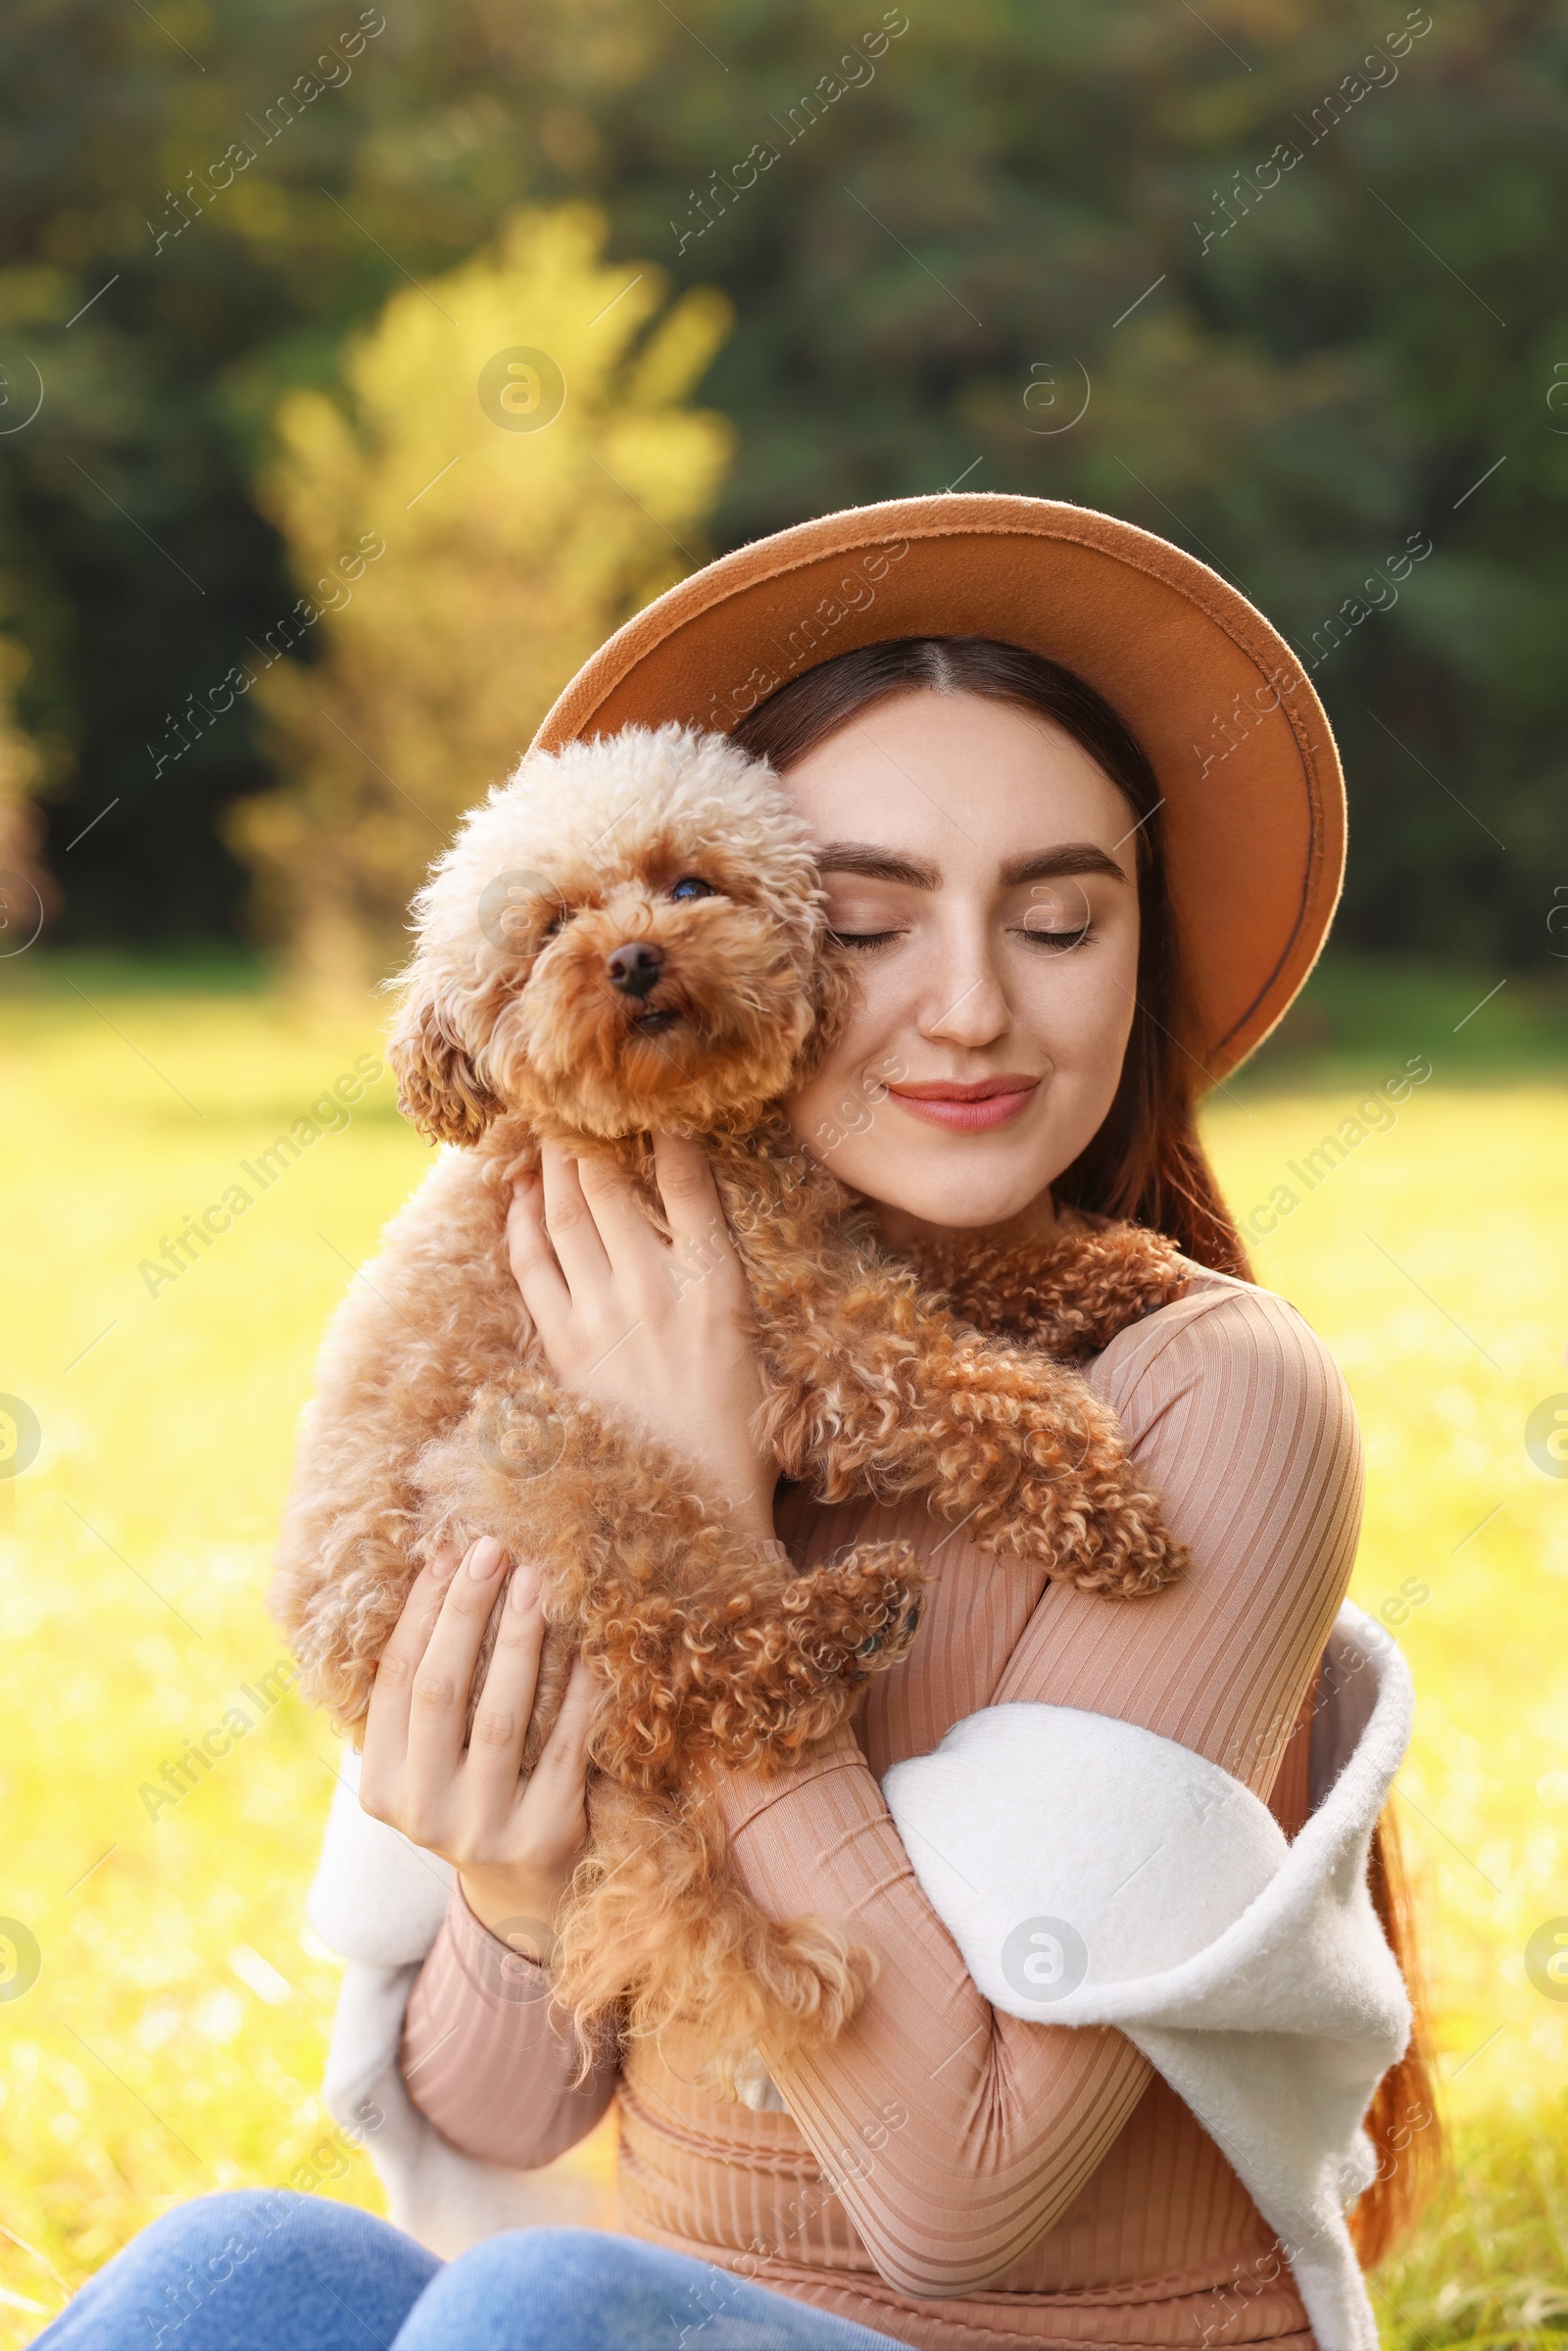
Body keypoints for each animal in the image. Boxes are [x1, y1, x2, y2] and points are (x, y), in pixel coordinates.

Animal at [270, 714, 1184, 2078]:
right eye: (549, 926)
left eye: (690, 881)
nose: (633, 954)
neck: (674, 1133)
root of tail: (344, 1674)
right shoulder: (809, 1343)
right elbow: (956, 1381)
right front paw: (1102, 1499)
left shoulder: (827, 1237)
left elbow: (955, 1264)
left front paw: (1113, 1267)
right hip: (545, 1462)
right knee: (695, 1678)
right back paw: (843, 1623)